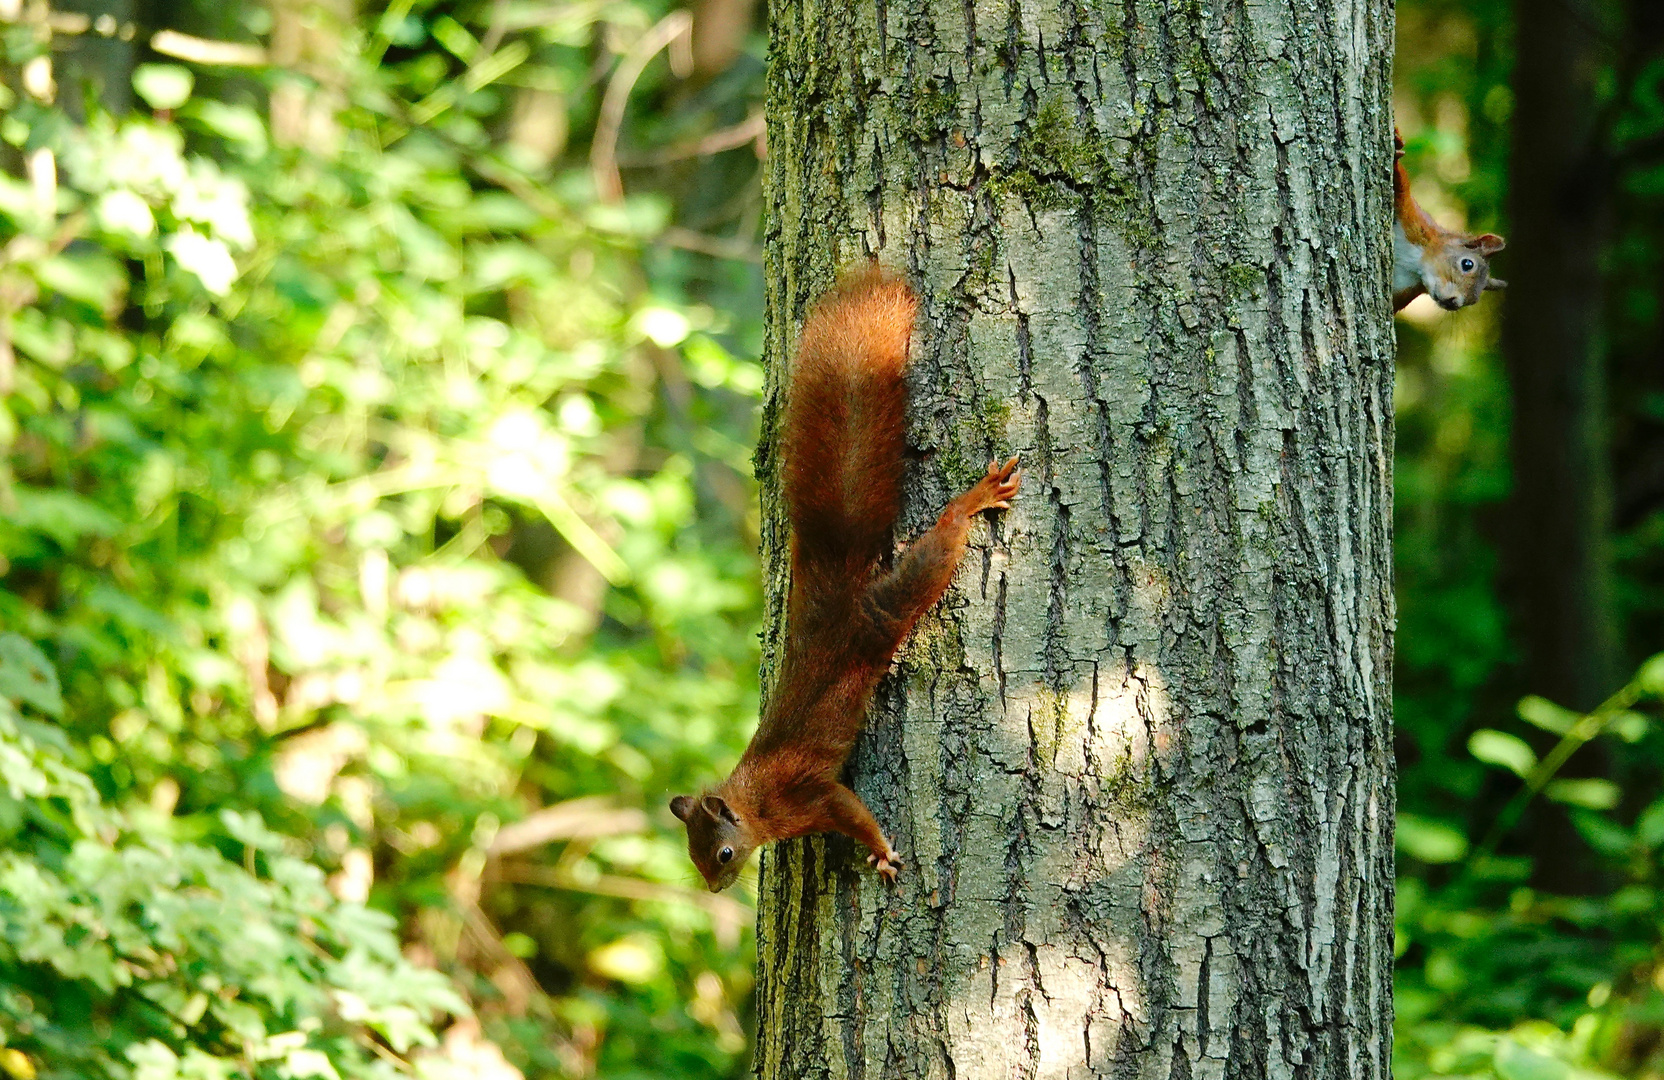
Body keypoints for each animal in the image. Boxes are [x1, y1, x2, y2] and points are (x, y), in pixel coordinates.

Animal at [668, 271, 1018, 891]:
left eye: (724, 854)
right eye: (694, 857)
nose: (714, 886)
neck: (755, 801)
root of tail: (833, 596)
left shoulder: (809, 796)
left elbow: (852, 812)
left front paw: (881, 852)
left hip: (888, 608)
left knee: (939, 546)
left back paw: (970, 502)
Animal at [1391, 128, 1510, 311]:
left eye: (1473, 300)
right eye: (1467, 264)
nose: (1453, 303)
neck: (1416, 264)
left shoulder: (1403, 291)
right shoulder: (1413, 222)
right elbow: (1401, 185)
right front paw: (1397, 149)